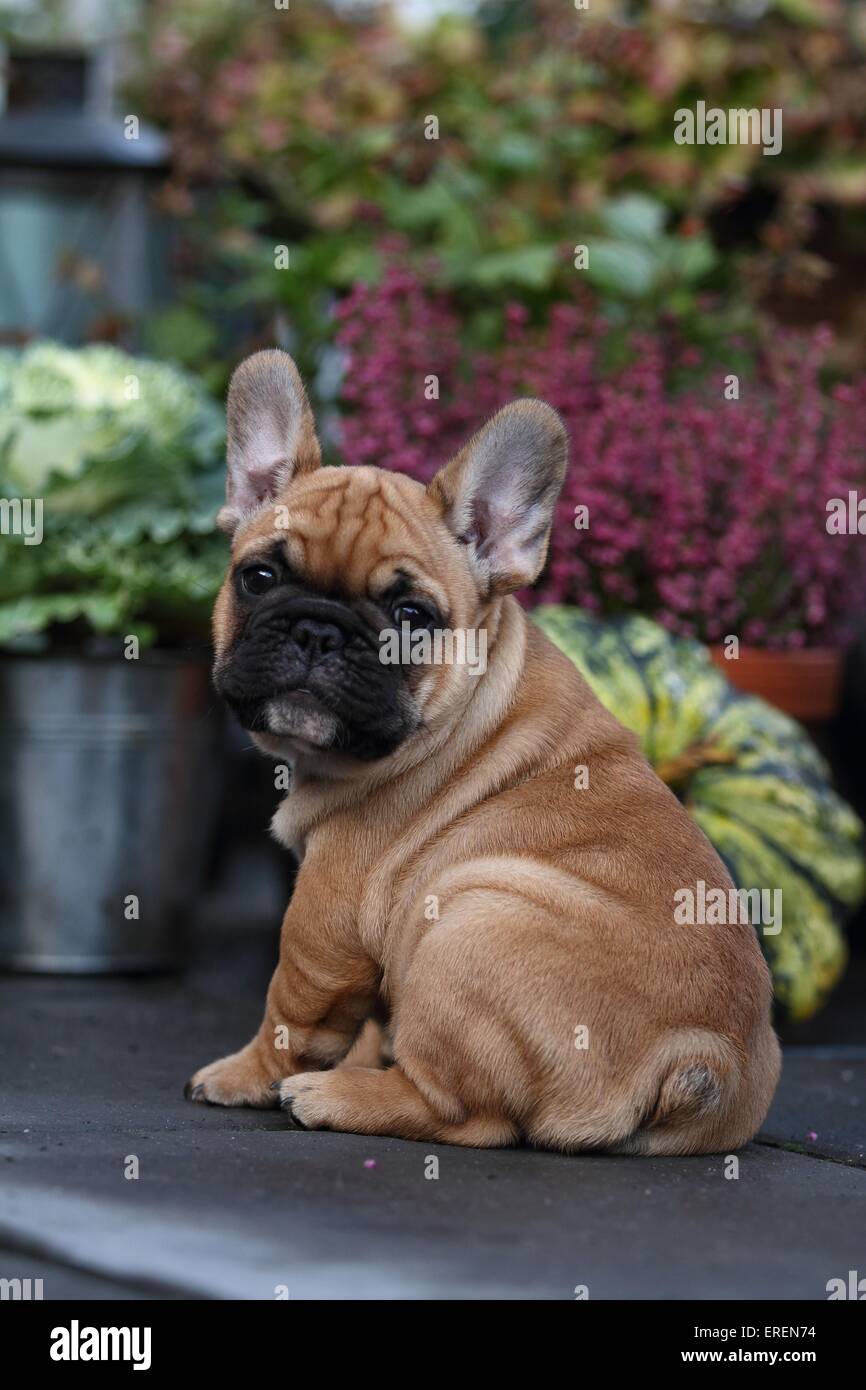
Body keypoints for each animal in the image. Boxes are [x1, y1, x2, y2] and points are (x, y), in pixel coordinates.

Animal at [186, 347, 783, 1150]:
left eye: (412, 615)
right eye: (259, 576)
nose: (317, 630)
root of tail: (702, 1058)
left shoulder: (326, 916)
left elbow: (289, 1013)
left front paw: (242, 1076)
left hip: (466, 920)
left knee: (466, 1113)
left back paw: (335, 1096)